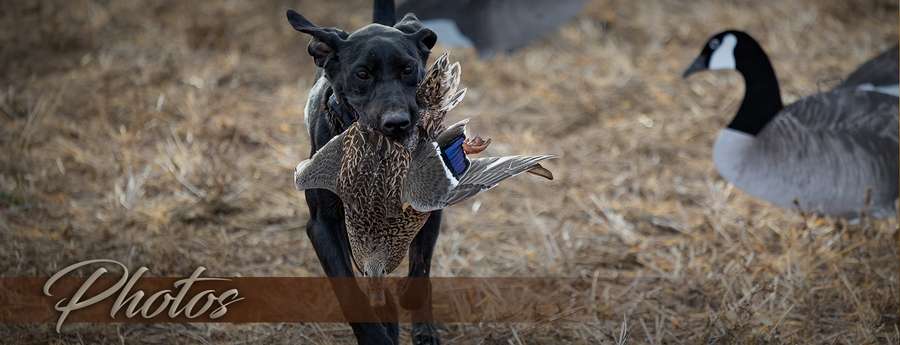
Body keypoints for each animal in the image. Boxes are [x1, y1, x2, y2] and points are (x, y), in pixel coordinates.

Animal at [286, 1, 442, 342]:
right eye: (362, 74)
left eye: (408, 69)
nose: (397, 123)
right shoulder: (324, 225)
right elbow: (350, 292)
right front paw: (377, 336)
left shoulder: (430, 207)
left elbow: (421, 268)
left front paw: (411, 301)